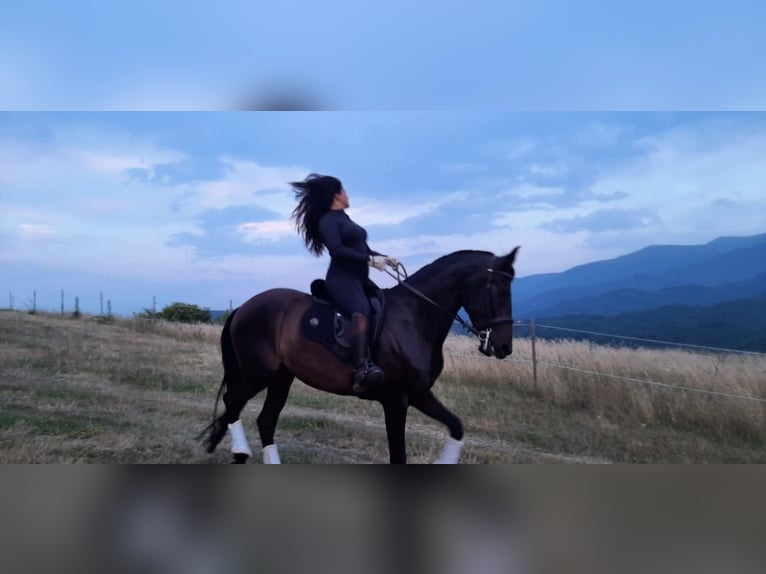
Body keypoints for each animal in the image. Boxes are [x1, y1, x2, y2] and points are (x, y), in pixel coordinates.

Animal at [200, 247, 520, 464]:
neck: (414, 318)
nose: (505, 347)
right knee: (232, 401)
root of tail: (244, 307)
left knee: (265, 420)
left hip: (281, 377)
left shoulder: (418, 393)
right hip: (258, 374)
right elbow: (398, 456)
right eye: (497, 289)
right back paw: (240, 452)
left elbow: (456, 426)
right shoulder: (396, 400)